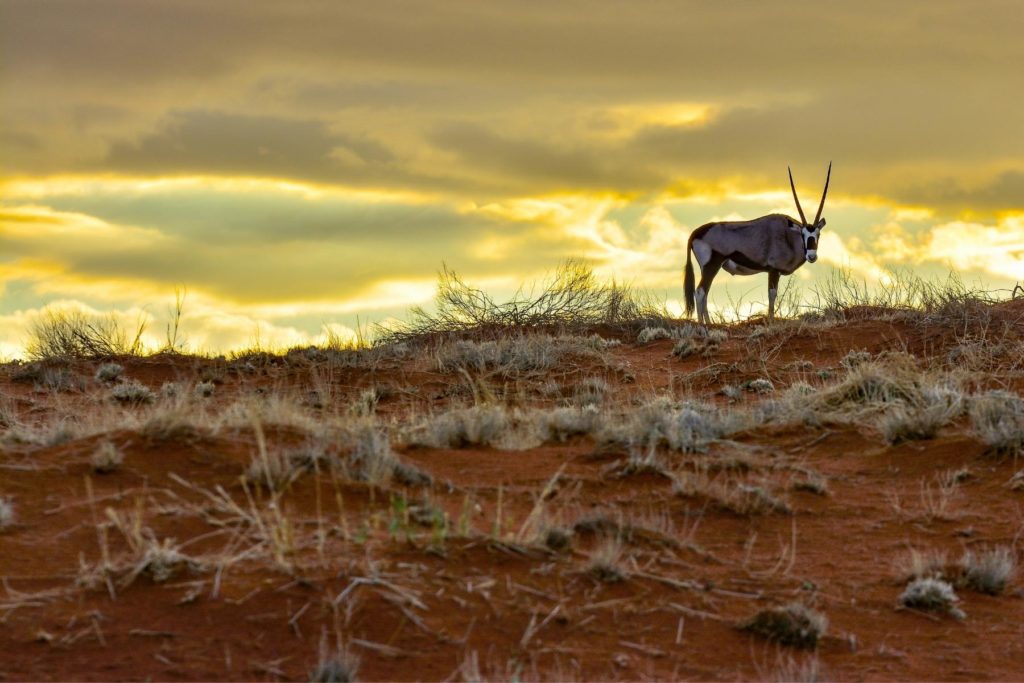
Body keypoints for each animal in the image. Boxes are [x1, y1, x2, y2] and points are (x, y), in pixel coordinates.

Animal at [679, 163, 831, 327]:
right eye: (803, 235)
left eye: (818, 235)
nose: (811, 256)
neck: (788, 235)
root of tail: (695, 233)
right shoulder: (773, 270)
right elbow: (772, 294)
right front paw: (771, 320)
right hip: (711, 265)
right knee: (700, 292)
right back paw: (703, 324)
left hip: (707, 268)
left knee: (704, 293)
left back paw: (709, 323)